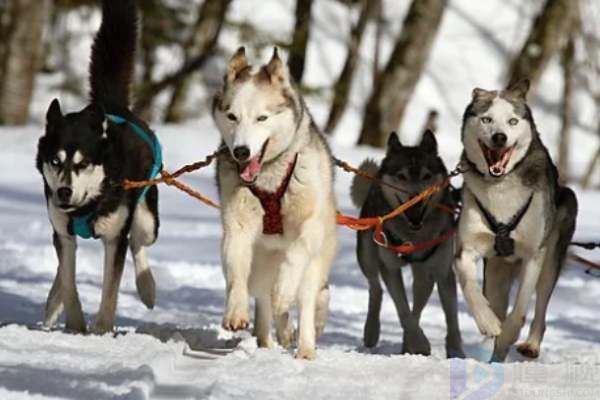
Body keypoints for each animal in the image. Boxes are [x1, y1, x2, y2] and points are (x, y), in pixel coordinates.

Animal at [34, 0, 158, 334]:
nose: (64, 192)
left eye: (84, 163)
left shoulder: (115, 238)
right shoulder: (62, 233)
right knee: (62, 270)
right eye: (55, 161)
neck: (87, 206)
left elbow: (110, 291)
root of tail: (111, 106)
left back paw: (147, 288)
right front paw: (75, 325)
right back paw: (52, 305)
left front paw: (101, 330)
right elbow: (68, 280)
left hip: (146, 219)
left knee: (139, 243)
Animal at [211, 47, 336, 360]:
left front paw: (284, 290)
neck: (269, 177)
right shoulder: (237, 226)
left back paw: (305, 348)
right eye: (232, 116)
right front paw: (236, 311)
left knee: (306, 300)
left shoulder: (310, 227)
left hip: (315, 264)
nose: (241, 152)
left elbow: (295, 256)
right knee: (265, 303)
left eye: (262, 118)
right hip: (260, 266)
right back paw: (270, 339)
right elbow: (236, 272)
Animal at [352, 130, 464, 356]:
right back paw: (372, 331)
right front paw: (419, 343)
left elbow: (451, 318)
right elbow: (403, 310)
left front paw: (456, 352)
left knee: (418, 305)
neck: (414, 236)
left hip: (425, 275)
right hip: (367, 256)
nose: (416, 197)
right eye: (401, 176)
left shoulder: (443, 271)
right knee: (375, 288)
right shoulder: (390, 268)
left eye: (426, 176)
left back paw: (406, 344)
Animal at [458, 79, 580, 360]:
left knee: (541, 306)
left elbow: (521, 308)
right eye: (487, 119)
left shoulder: (533, 254)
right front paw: (488, 322)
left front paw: (509, 333)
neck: (500, 185)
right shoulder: (467, 248)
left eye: (512, 121)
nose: (499, 137)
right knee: (496, 301)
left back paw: (530, 344)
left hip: (551, 259)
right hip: (496, 275)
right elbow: (469, 285)